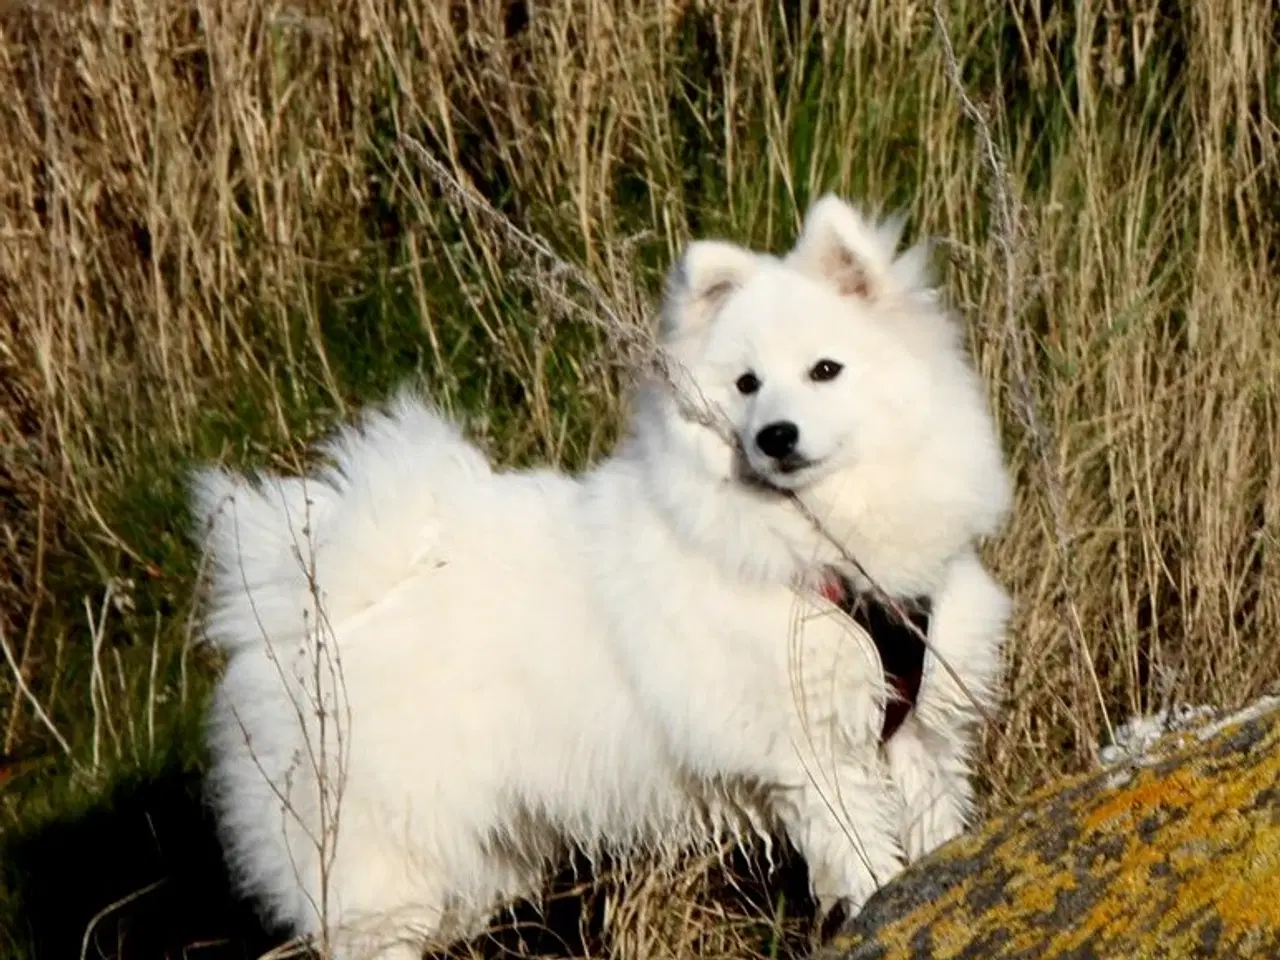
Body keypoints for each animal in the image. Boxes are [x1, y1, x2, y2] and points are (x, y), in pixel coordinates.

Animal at [192, 197, 1008, 960]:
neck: (823, 551)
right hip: (386, 863)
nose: (776, 437)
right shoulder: (814, 759)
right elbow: (863, 857)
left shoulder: (919, 732)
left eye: (825, 370)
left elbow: (934, 834)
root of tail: (305, 601)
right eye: (746, 385)